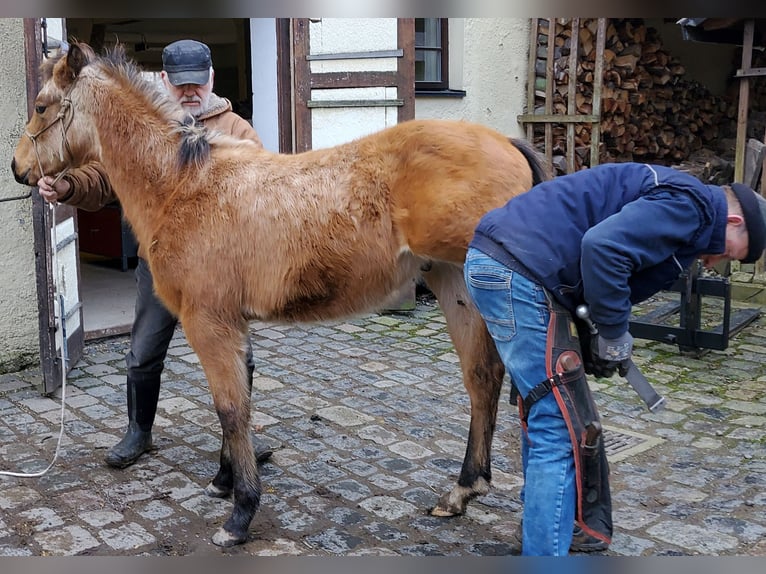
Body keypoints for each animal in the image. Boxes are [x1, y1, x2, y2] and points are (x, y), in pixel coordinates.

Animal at [11, 42, 549, 547]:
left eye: (40, 105)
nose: (19, 169)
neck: (182, 184)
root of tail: (508, 142)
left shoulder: (209, 323)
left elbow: (231, 408)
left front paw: (240, 514)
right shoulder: (233, 323)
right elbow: (240, 401)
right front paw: (225, 481)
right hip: (457, 287)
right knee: (483, 378)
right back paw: (463, 490)